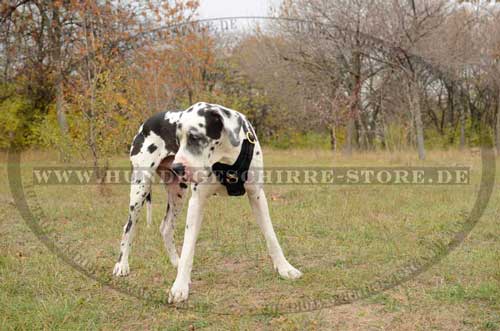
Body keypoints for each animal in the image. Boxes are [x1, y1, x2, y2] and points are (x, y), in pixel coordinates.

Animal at [113, 101, 300, 304]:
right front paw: (180, 287)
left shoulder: (257, 195)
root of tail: (147, 122)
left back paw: (175, 261)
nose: (177, 167)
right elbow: (188, 247)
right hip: (140, 188)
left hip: (178, 192)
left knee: (166, 227)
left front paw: (285, 268)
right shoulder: (197, 202)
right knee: (128, 227)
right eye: (177, 140)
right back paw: (122, 265)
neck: (226, 158)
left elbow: (271, 236)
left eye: (195, 137)